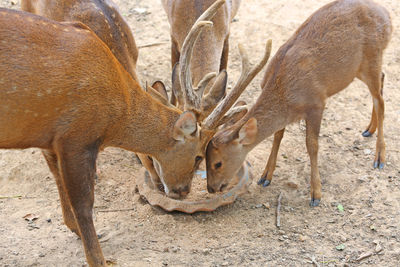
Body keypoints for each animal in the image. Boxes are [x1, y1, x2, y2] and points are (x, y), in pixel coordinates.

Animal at [0, 2, 272, 266]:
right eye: (198, 156)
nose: (183, 191)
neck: (113, 117)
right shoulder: (75, 135)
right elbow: (84, 204)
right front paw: (99, 259)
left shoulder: (49, 136)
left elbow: (57, 178)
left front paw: (73, 228)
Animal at [205, 0, 392, 207]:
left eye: (217, 163)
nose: (211, 188)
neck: (285, 95)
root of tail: (387, 16)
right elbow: (278, 135)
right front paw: (265, 176)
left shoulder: (317, 103)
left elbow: (312, 145)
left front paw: (316, 194)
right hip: (358, 70)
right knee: (382, 81)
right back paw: (369, 129)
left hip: (373, 57)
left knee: (381, 101)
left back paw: (379, 158)